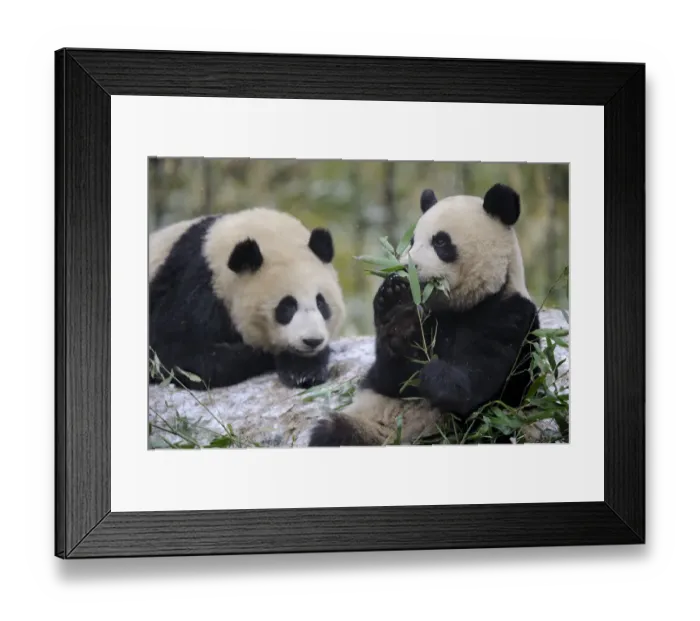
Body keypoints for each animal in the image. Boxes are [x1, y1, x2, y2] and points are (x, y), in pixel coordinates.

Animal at [148, 207, 346, 391]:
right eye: (287, 306)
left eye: (321, 303)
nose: (312, 341)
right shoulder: (192, 284)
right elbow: (177, 353)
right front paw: (270, 356)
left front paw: (304, 370)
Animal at [308, 183, 540, 446]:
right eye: (412, 240)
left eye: (440, 242)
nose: (406, 267)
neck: (461, 306)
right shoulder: (427, 317)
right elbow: (392, 377)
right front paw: (396, 305)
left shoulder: (509, 314)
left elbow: (483, 371)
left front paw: (437, 376)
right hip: (369, 425)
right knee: (332, 432)